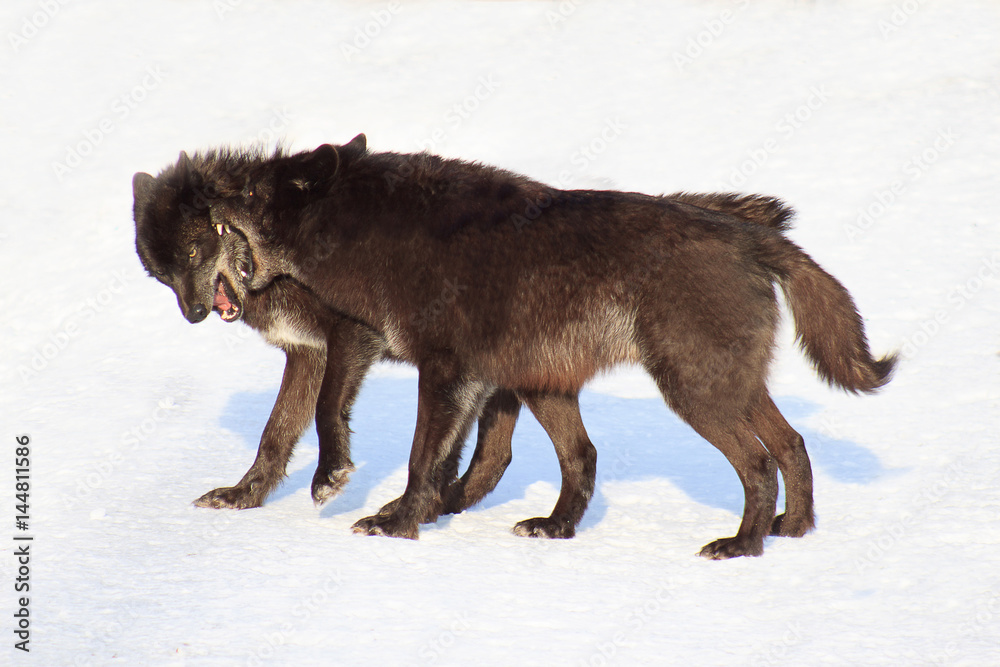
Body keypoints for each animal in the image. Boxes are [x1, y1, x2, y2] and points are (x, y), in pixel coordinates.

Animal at [202, 134, 896, 559]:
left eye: (251, 193)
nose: (205, 191)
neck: (373, 234)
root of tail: (748, 235)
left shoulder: (446, 373)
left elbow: (423, 459)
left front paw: (396, 524)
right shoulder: (487, 382)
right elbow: (465, 463)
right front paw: (414, 513)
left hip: (693, 394)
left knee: (757, 463)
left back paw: (742, 545)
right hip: (646, 388)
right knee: (778, 445)